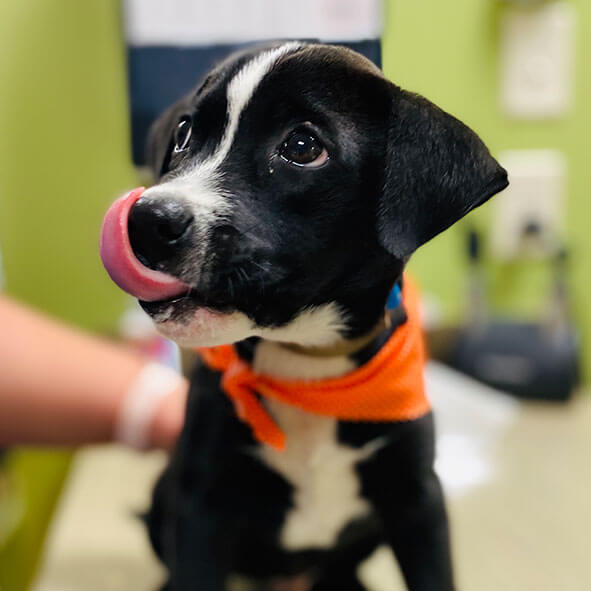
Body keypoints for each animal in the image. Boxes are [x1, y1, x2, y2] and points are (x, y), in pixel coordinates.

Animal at [103, 42, 508, 591]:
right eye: (183, 133)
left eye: (302, 146)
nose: (145, 221)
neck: (306, 367)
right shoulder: (202, 499)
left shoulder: (417, 498)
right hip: (165, 492)